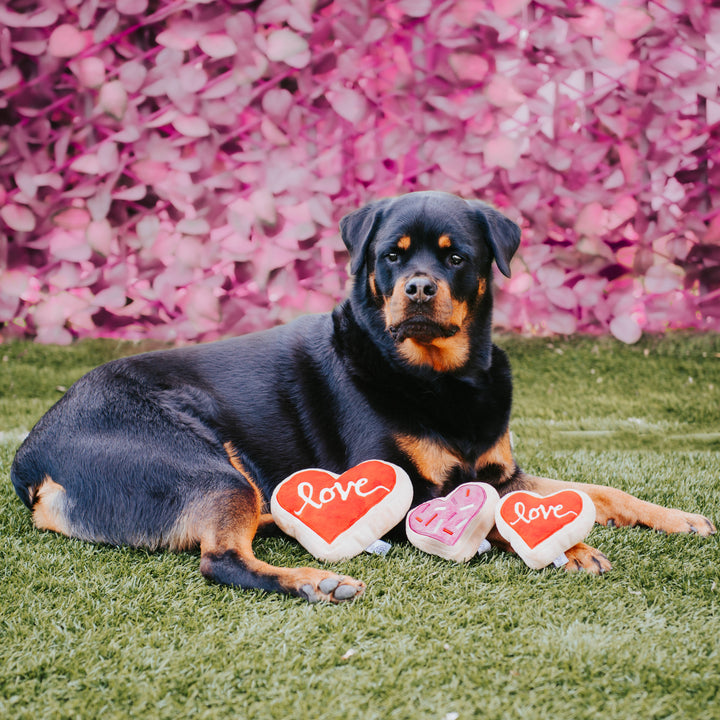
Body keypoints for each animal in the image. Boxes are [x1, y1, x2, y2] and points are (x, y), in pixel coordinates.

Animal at [11, 191, 716, 600]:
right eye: (391, 256)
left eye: (456, 257)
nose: (420, 288)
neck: (440, 377)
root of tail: (31, 456)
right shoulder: (412, 491)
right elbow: (496, 517)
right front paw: (569, 547)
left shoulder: (499, 470)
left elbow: (598, 490)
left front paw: (674, 516)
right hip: (209, 469)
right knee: (221, 560)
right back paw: (315, 581)